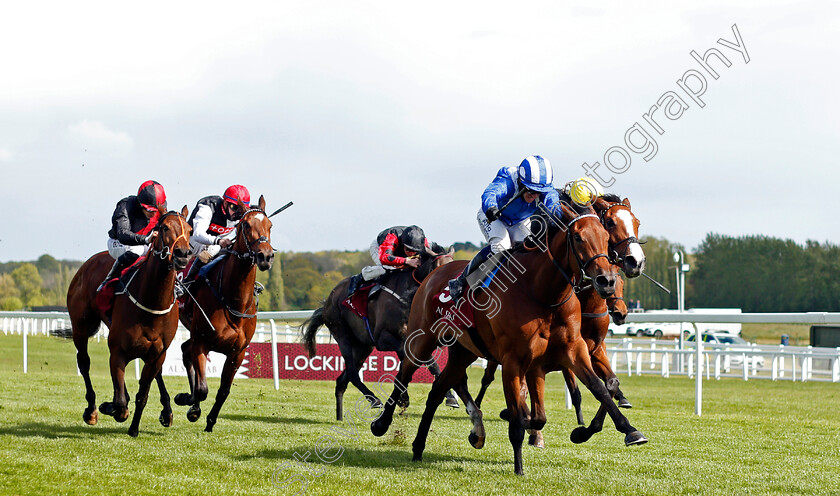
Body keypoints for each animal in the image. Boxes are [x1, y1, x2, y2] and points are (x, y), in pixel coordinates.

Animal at [66, 207, 192, 436]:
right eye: (164, 227)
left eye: (189, 230)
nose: (183, 254)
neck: (152, 301)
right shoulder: (118, 350)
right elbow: (121, 403)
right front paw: (110, 407)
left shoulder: (157, 353)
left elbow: (142, 394)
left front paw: (134, 428)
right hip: (80, 327)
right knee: (84, 362)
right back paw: (92, 410)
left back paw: (166, 411)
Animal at [175, 196, 276, 432]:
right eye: (245, 225)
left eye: (270, 225)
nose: (265, 256)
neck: (233, 301)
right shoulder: (202, 343)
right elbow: (202, 389)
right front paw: (190, 404)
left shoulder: (237, 352)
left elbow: (223, 391)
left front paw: (210, 422)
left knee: (184, 350)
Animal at [302, 246, 456, 420]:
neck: (409, 297)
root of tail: (327, 301)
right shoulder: (384, 338)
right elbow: (410, 357)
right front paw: (403, 398)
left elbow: (429, 363)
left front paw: (450, 396)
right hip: (342, 335)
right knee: (352, 373)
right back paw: (374, 400)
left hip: (363, 346)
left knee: (342, 380)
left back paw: (340, 417)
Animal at [370, 202, 648, 476]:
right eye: (578, 237)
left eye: (605, 236)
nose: (607, 280)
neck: (542, 292)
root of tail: (434, 274)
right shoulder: (514, 361)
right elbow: (520, 416)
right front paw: (519, 467)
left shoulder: (571, 351)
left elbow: (597, 388)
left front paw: (627, 430)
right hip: (422, 339)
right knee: (404, 375)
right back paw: (382, 423)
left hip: (463, 351)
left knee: (438, 390)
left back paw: (421, 446)